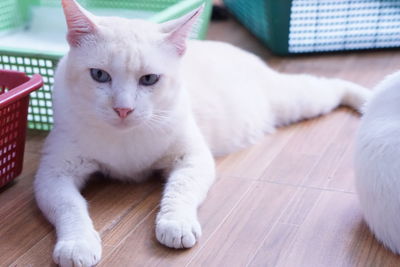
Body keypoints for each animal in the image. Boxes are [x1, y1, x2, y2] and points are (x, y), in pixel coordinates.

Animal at [34, 0, 372, 267]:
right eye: (99, 76)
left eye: (149, 80)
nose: (123, 109)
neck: (123, 138)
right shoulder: (53, 173)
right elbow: (70, 206)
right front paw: (78, 244)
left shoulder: (193, 157)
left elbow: (180, 189)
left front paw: (176, 224)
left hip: (297, 100)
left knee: (330, 85)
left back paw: (368, 99)